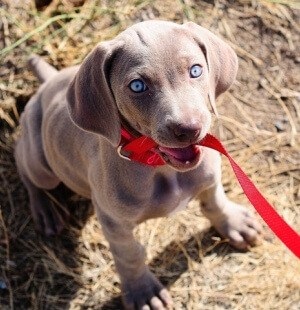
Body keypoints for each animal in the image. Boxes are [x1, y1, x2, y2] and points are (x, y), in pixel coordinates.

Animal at [15, 21, 262, 310]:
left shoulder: (210, 174)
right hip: (41, 163)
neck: (162, 168)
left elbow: (215, 200)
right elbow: (130, 254)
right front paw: (143, 291)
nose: (188, 129)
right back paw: (45, 209)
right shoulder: (114, 222)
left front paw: (234, 223)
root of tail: (49, 82)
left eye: (195, 70)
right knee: (25, 166)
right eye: (137, 86)